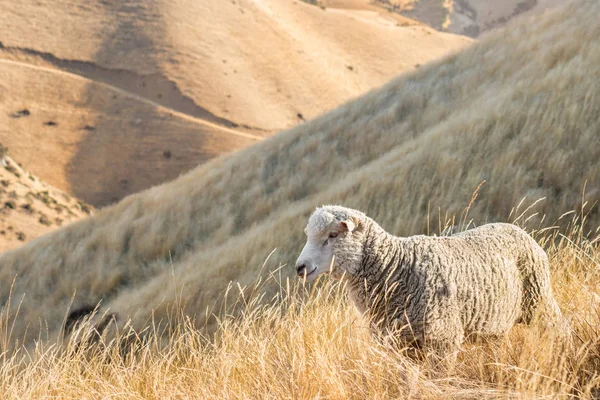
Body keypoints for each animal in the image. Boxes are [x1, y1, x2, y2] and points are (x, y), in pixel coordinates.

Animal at [296, 205, 568, 358]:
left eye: (333, 235)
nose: (300, 268)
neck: (395, 267)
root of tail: (517, 228)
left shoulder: (443, 339)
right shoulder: (399, 344)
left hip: (539, 298)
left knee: (557, 328)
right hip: (494, 323)